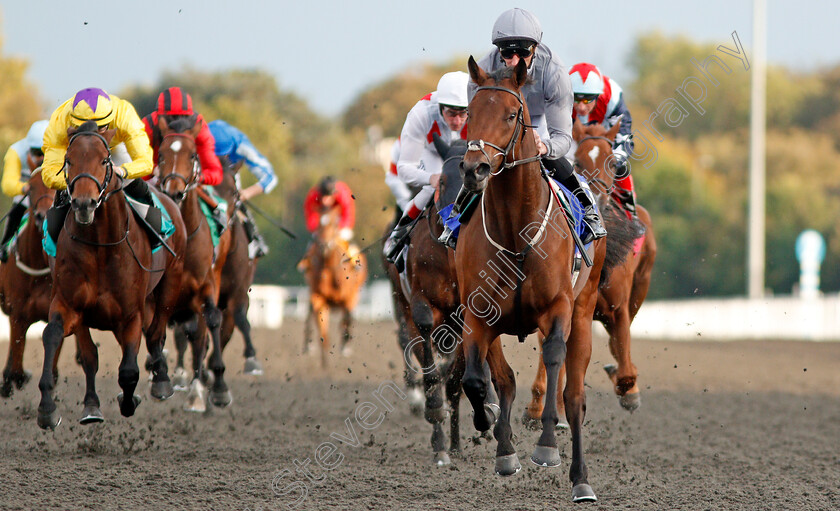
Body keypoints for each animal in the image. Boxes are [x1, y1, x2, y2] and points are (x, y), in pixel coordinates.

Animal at [36, 122, 185, 430]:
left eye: (105, 160)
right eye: (68, 160)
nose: (83, 203)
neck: (101, 247)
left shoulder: (130, 313)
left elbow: (129, 369)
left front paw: (129, 401)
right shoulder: (70, 305)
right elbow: (59, 338)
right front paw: (51, 408)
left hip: (170, 283)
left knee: (156, 333)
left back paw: (161, 382)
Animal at [156, 117, 230, 412]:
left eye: (192, 155)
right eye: (161, 154)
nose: (174, 192)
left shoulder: (205, 285)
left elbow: (210, 322)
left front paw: (216, 388)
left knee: (199, 334)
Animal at [302, 204, 368, 368]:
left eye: (334, 223)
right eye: (319, 223)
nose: (324, 246)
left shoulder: (348, 298)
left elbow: (347, 318)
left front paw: (345, 347)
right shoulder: (318, 298)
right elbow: (323, 331)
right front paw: (325, 362)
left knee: (348, 317)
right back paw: (308, 345)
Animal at [452, 58, 612, 502]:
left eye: (511, 114)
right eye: (471, 113)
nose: (475, 169)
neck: (515, 232)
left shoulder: (557, 309)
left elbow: (554, 361)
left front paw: (546, 446)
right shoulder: (477, 314)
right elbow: (478, 380)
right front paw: (492, 429)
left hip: (582, 311)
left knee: (574, 395)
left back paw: (580, 479)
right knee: (503, 379)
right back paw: (504, 444)